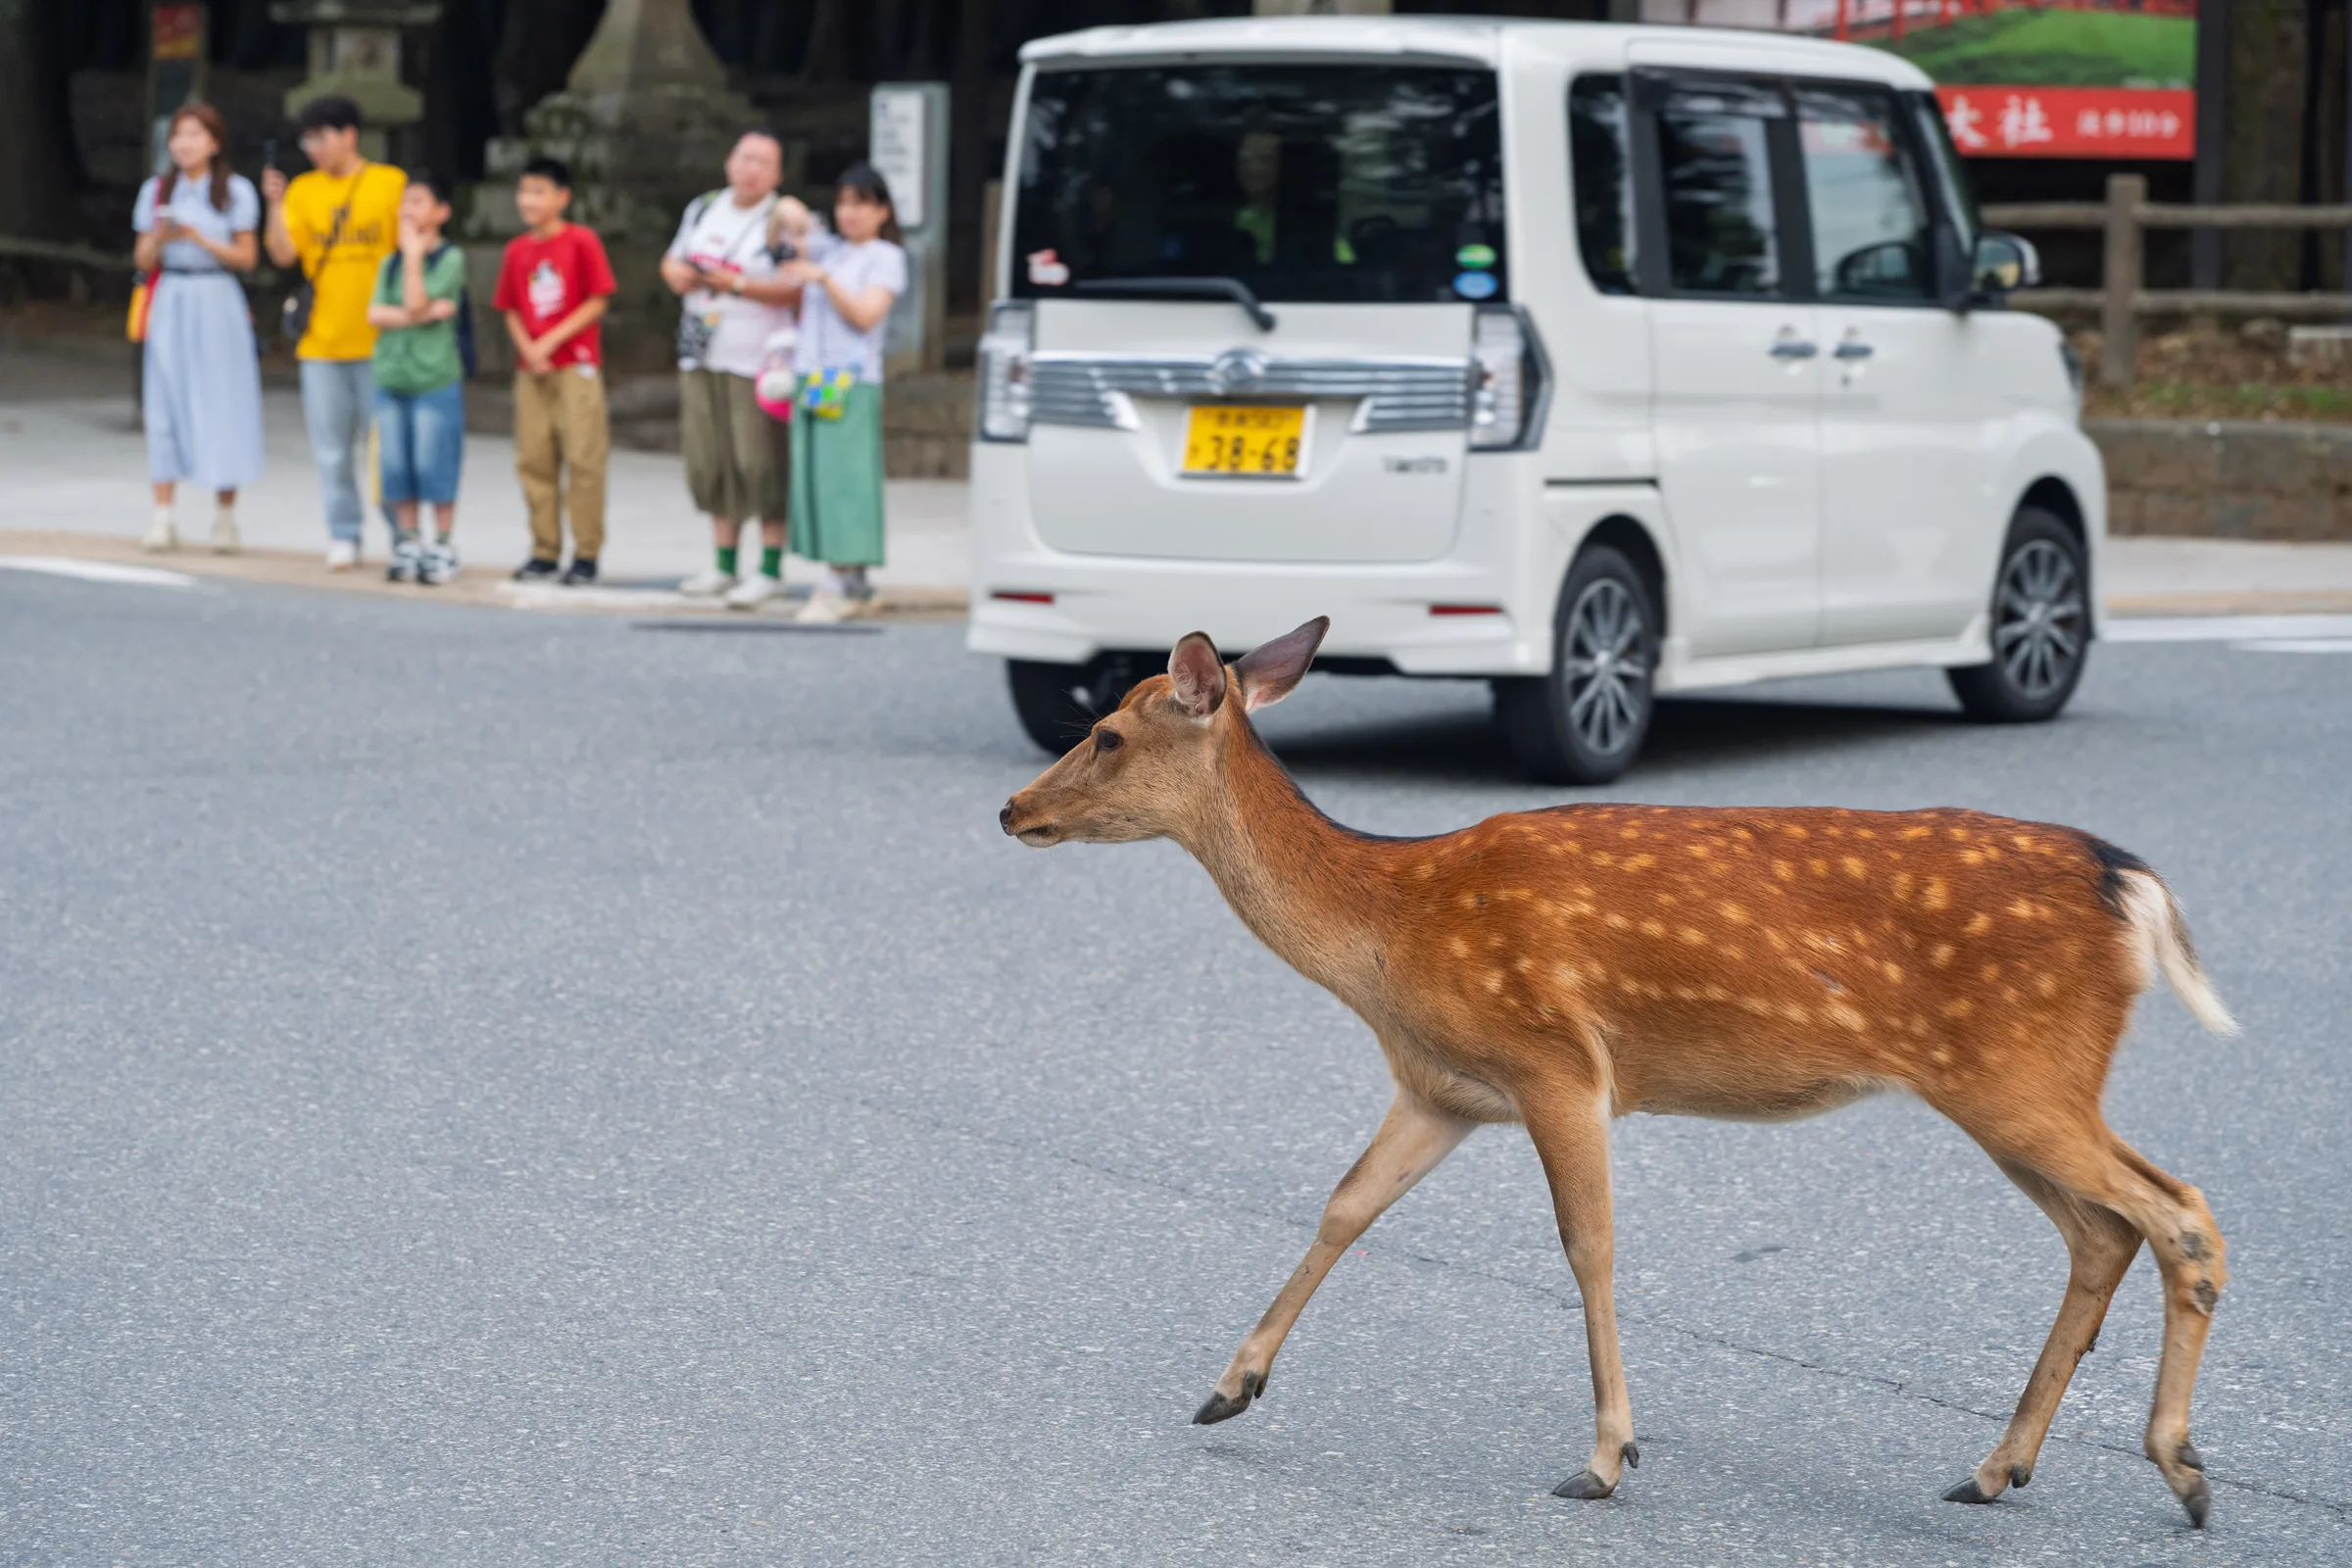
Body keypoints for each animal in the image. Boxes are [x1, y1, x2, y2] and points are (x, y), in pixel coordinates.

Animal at [998, 616, 2238, 1528]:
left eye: (1105, 733)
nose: (1013, 806)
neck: (1391, 932)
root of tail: (2133, 886)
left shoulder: (1556, 1061)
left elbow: (1587, 1245)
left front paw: (1603, 1456)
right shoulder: (1443, 1088)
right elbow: (1346, 1204)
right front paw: (1229, 1386)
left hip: (2016, 1071)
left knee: (2178, 1210)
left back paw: (2179, 1468)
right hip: (2013, 1082)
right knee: (2105, 1229)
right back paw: (1994, 1468)